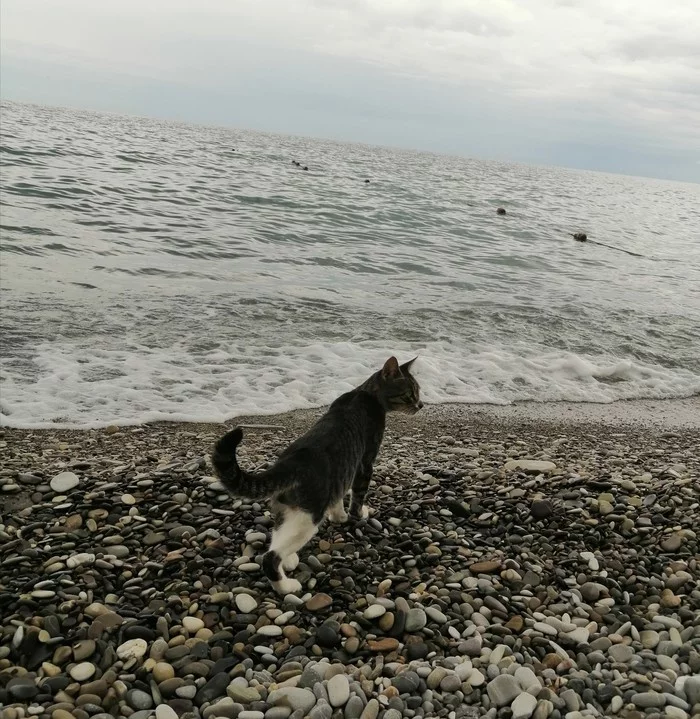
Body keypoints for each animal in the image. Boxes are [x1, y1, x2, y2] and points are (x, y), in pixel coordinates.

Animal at [211, 356, 424, 596]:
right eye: (410, 392)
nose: (421, 405)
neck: (365, 393)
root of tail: (289, 462)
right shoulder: (364, 462)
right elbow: (358, 496)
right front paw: (358, 514)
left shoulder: (342, 473)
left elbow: (339, 499)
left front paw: (339, 516)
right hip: (308, 516)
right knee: (269, 556)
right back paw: (286, 586)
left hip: (289, 510)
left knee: (277, 538)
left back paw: (289, 561)